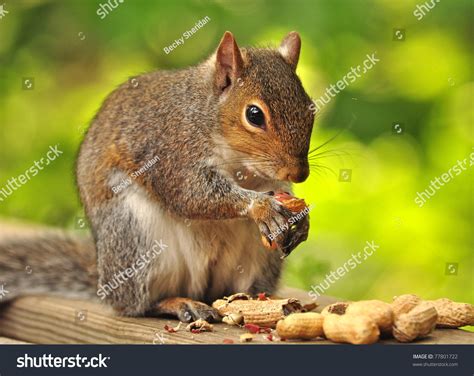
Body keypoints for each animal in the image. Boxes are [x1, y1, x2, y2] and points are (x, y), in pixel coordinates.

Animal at [0, 30, 314, 322]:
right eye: (254, 115)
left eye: (310, 107)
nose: (299, 174)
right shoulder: (172, 151)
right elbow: (191, 196)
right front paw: (261, 206)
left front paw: (300, 216)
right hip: (137, 237)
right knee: (136, 305)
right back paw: (178, 303)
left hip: (260, 260)